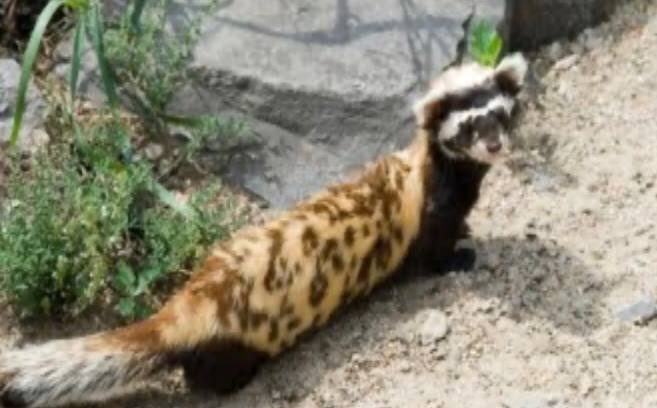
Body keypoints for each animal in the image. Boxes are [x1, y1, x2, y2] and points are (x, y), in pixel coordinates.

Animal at [0, 54, 527, 408]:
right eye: (467, 124)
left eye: (501, 112)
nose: (495, 144)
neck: (427, 177)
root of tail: (184, 309)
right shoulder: (432, 219)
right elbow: (435, 257)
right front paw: (463, 255)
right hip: (236, 351)